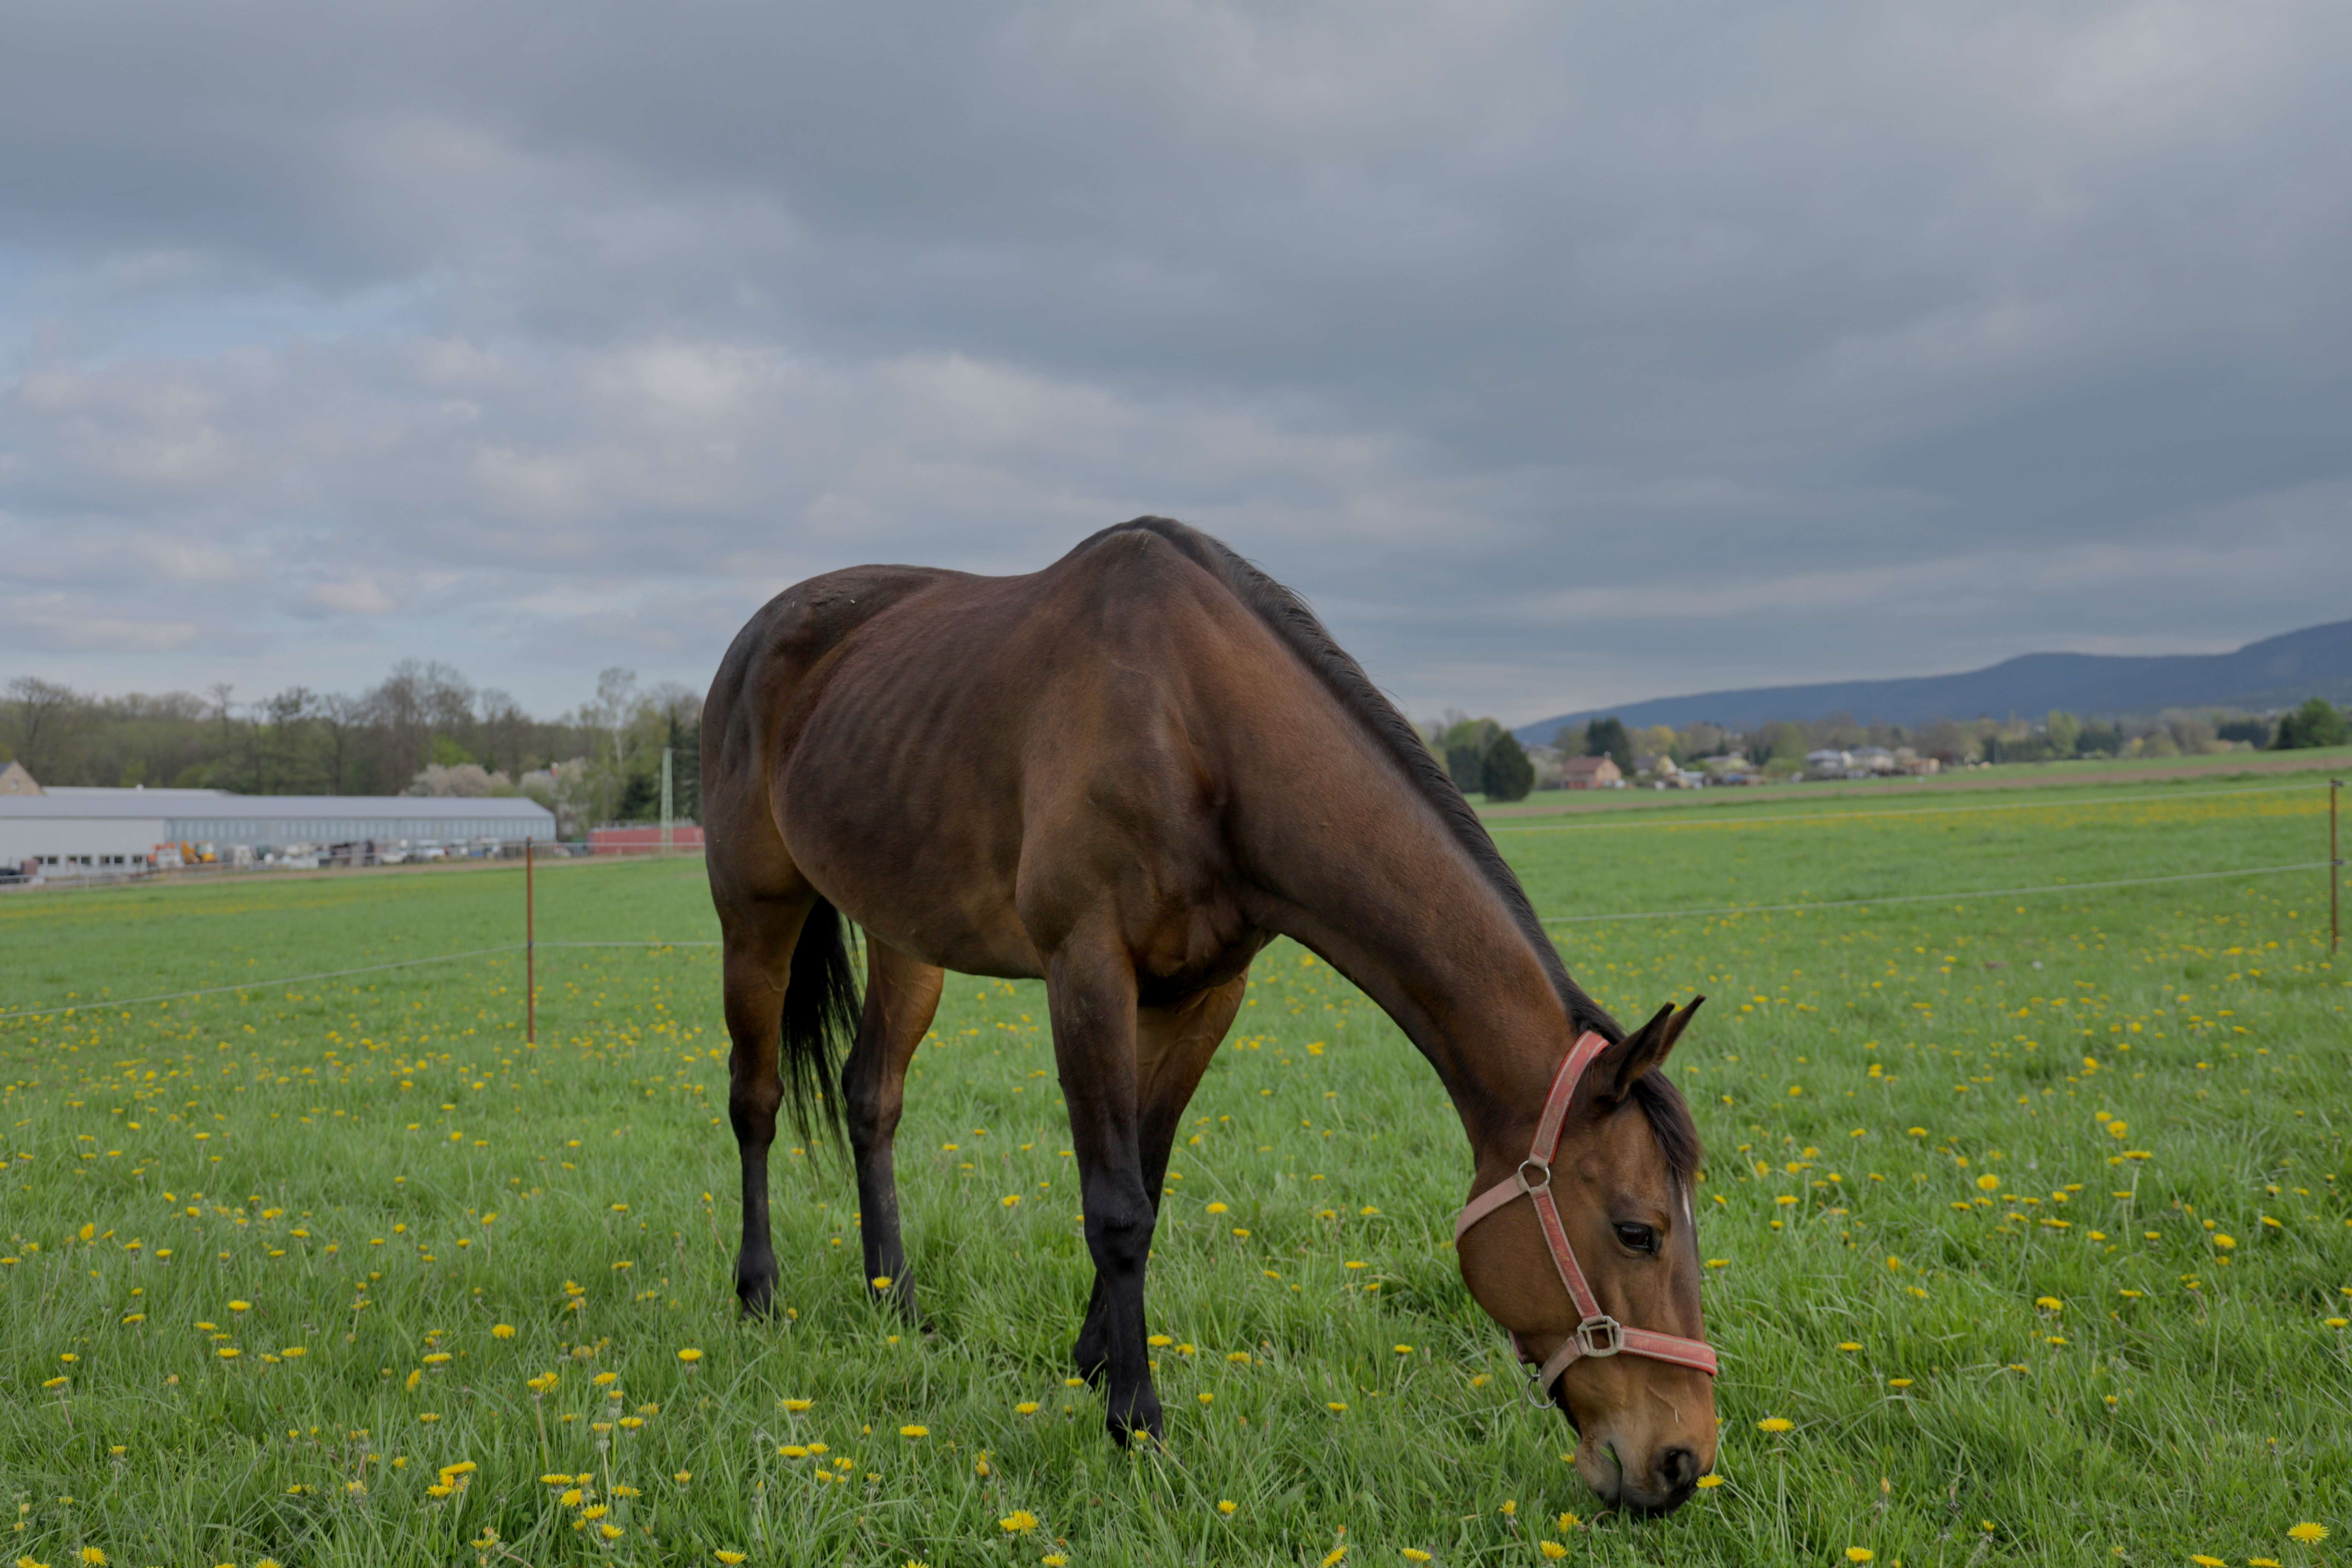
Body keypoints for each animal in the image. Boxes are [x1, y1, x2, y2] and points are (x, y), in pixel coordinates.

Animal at [691, 522, 1712, 1514]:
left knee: (872, 1098)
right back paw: (758, 1295)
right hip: (755, 913)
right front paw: (1136, 1421)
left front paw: (1092, 1363)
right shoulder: (1087, 972)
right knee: (755, 1099)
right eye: (1639, 1230)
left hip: (906, 934)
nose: (1680, 1461)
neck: (1194, 727)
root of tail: (762, 634)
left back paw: (893, 1301)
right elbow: (1115, 1205)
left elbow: (1147, 1174)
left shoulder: (1203, 996)